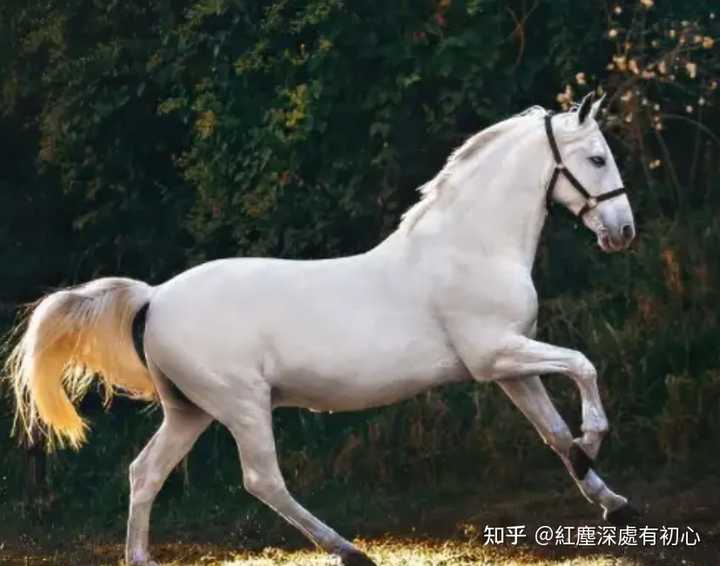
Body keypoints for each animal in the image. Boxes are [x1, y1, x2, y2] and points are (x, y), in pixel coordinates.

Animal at [5, 92, 637, 566]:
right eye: (597, 159)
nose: (623, 232)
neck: (472, 247)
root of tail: (155, 298)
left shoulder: (510, 367)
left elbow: (553, 431)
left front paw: (611, 498)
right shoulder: (496, 355)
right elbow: (584, 366)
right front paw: (594, 444)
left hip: (190, 410)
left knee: (145, 473)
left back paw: (142, 558)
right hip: (241, 404)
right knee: (262, 479)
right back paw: (349, 550)